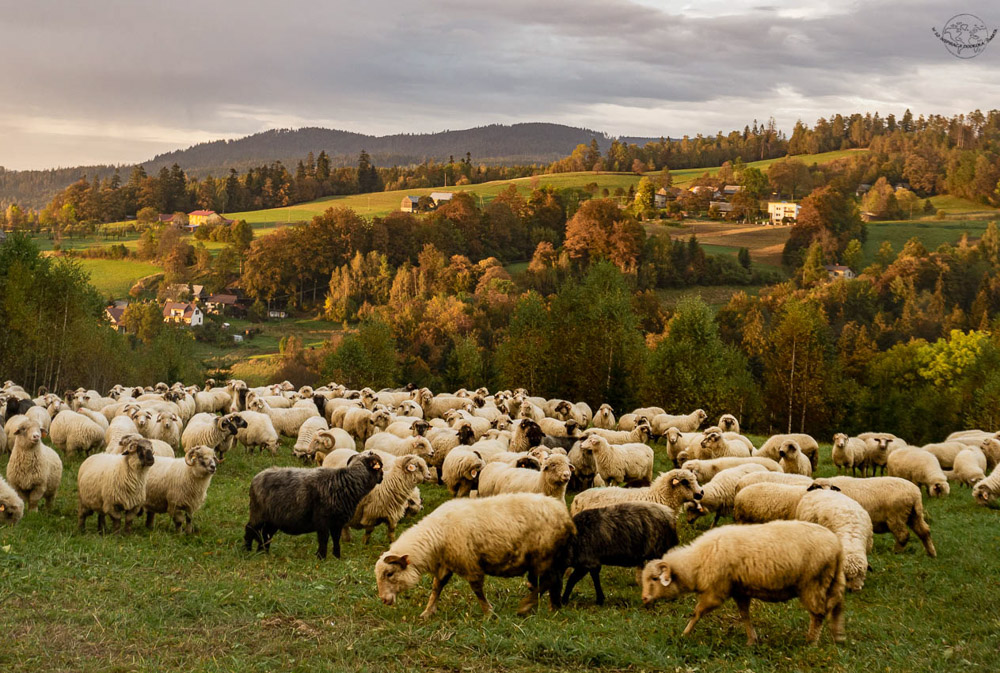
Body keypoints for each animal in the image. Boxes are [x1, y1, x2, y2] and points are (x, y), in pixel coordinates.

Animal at [244, 448, 384, 560]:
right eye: (380, 467)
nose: (382, 476)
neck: (346, 483)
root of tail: (255, 479)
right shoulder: (322, 520)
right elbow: (324, 539)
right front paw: (321, 557)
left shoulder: (337, 522)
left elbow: (336, 539)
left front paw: (337, 556)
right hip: (258, 513)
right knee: (250, 529)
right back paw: (247, 550)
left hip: (273, 519)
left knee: (265, 534)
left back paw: (263, 553)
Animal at [374, 490, 576, 616]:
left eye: (390, 573)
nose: (383, 600)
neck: (438, 534)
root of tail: (565, 517)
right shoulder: (446, 563)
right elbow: (437, 587)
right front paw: (427, 612)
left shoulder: (469, 563)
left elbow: (477, 589)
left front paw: (488, 612)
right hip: (551, 557)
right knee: (555, 581)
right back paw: (553, 607)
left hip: (544, 555)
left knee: (548, 581)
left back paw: (526, 606)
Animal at [640, 516, 844, 644]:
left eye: (655, 578)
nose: (644, 598)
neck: (696, 562)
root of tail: (837, 545)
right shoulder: (739, 591)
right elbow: (745, 615)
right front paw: (752, 640)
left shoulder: (716, 592)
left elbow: (696, 613)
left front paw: (685, 634)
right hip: (831, 581)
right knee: (836, 607)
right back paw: (837, 636)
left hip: (813, 583)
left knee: (818, 614)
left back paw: (811, 642)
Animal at [804, 478, 936, 556]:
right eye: (817, 486)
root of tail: (915, 494)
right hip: (914, 515)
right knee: (924, 531)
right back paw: (931, 553)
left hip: (896, 516)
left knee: (903, 535)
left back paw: (896, 552)